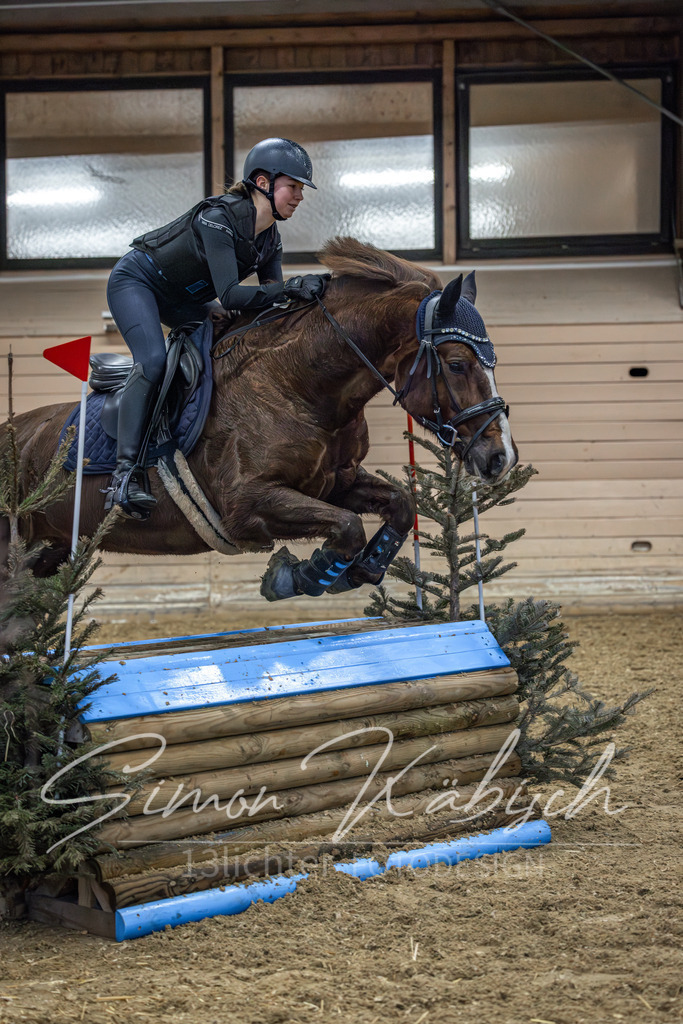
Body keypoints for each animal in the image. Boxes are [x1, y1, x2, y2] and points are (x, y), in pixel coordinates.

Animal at [1, 237, 517, 602]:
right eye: (457, 364)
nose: (501, 458)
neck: (299, 386)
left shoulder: (333, 482)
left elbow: (399, 505)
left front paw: (359, 569)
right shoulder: (246, 505)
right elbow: (348, 525)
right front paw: (301, 576)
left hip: (48, 549)